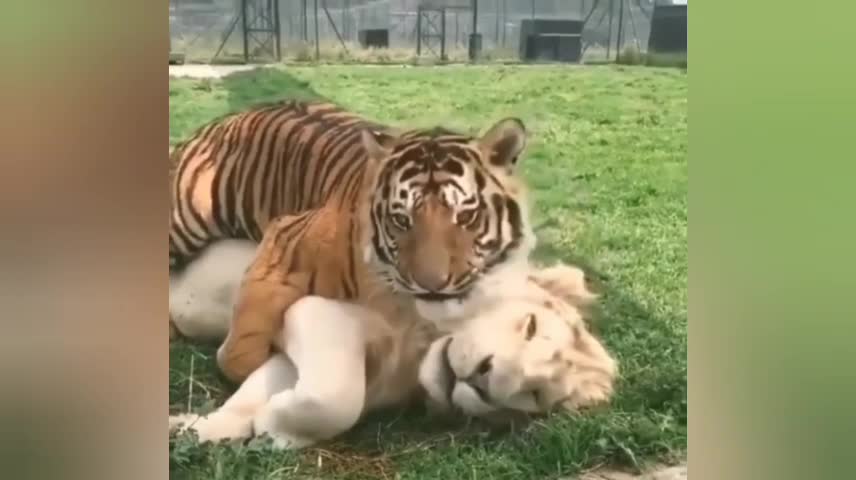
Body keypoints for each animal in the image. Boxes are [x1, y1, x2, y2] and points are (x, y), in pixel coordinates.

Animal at [169, 100, 536, 382]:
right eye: (401, 220)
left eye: (466, 216)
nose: (432, 284)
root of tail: (222, 120)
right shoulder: (284, 241)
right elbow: (241, 353)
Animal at [169, 240, 616, 450]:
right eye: (530, 326)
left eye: (534, 395)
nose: (485, 377)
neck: (418, 346)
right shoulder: (313, 309)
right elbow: (338, 398)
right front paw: (271, 426)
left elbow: (275, 396)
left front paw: (201, 430)